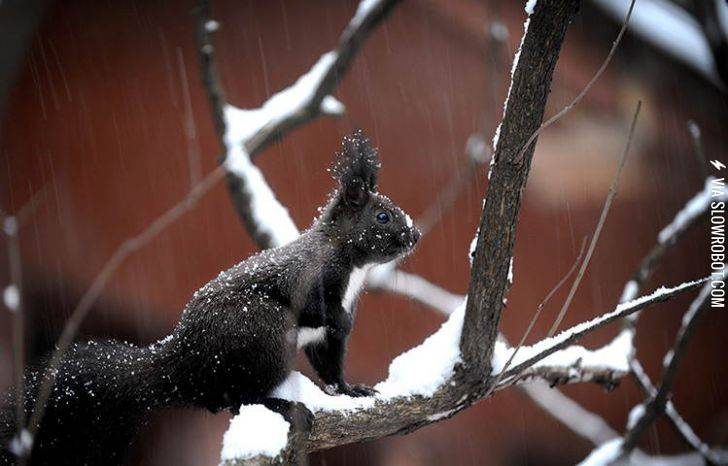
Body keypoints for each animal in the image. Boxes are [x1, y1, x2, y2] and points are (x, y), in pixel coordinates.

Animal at [1, 130, 420, 465]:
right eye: (383, 217)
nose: (413, 235)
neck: (353, 267)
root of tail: (181, 364)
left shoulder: (327, 337)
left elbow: (332, 367)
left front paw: (351, 390)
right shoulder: (307, 280)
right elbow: (317, 310)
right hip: (261, 333)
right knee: (237, 397)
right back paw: (282, 404)